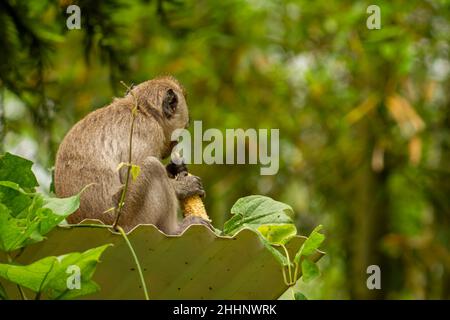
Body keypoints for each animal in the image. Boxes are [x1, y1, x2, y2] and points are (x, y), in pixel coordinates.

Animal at [55, 76, 211, 234]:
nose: (175, 143)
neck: (143, 110)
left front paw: (175, 168)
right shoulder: (148, 132)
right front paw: (182, 187)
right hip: (127, 219)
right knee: (152, 167)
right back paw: (173, 230)